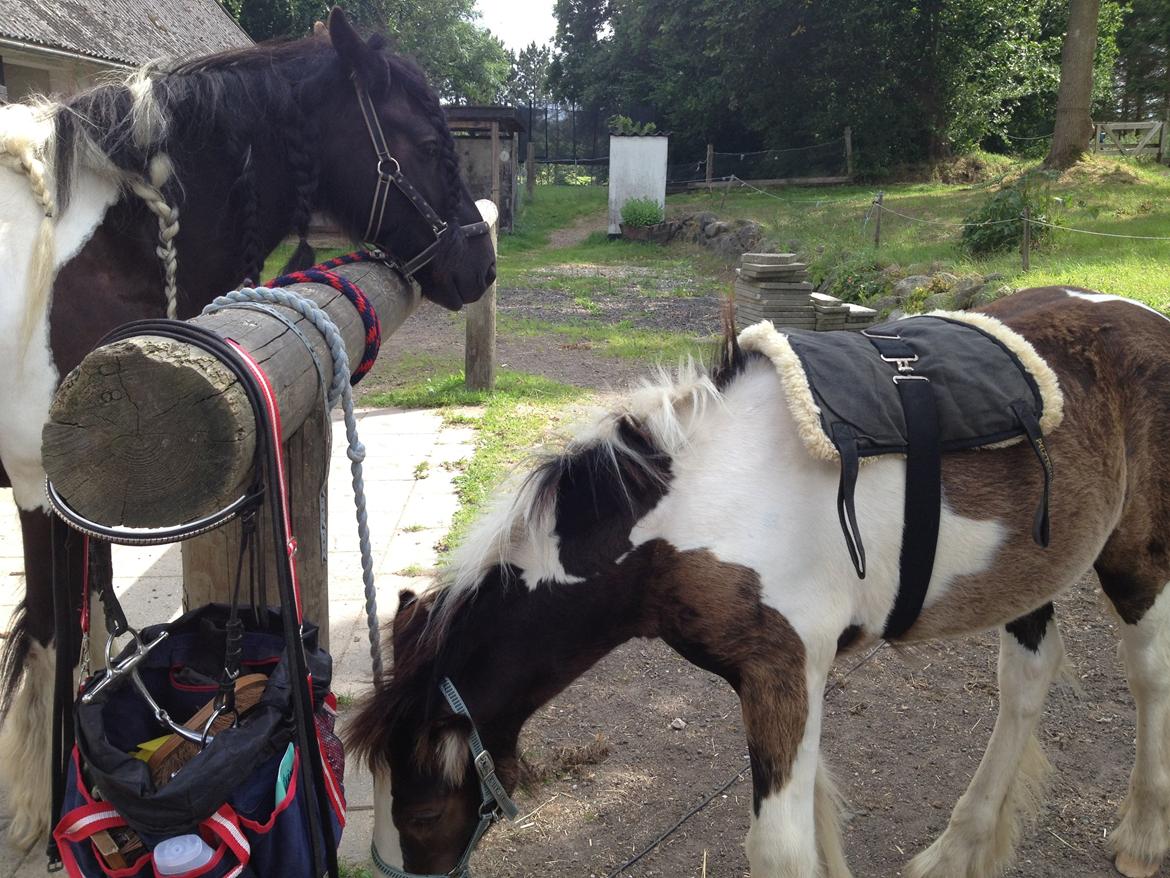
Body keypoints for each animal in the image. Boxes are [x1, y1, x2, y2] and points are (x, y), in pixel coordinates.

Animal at [0, 3, 496, 847]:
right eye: (432, 146)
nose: (481, 262)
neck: (96, 254)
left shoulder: (85, 489)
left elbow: (91, 626)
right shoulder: (39, 488)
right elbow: (47, 634)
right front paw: (36, 804)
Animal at [348, 285, 1170, 875]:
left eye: (421, 814)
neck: (692, 513)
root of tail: (1144, 315)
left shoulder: (783, 672)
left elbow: (779, 848)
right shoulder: (786, 682)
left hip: (1137, 563)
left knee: (1148, 674)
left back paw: (1140, 838)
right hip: (1030, 573)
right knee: (1028, 681)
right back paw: (955, 854)